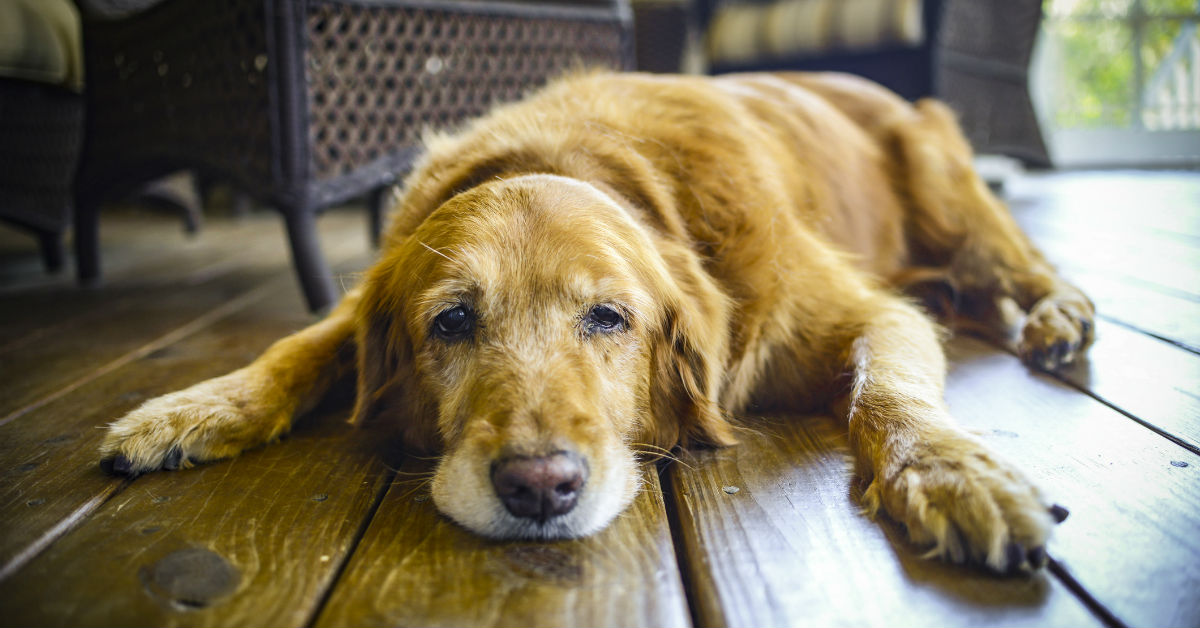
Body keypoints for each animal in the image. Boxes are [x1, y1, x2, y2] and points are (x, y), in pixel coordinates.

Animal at [103, 72, 1094, 573]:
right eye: (451, 323)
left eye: (610, 317)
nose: (539, 487)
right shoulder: (365, 299)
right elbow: (298, 346)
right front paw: (191, 409)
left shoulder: (869, 311)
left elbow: (888, 393)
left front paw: (951, 473)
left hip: (946, 184)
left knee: (1019, 262)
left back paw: (1058, 315)